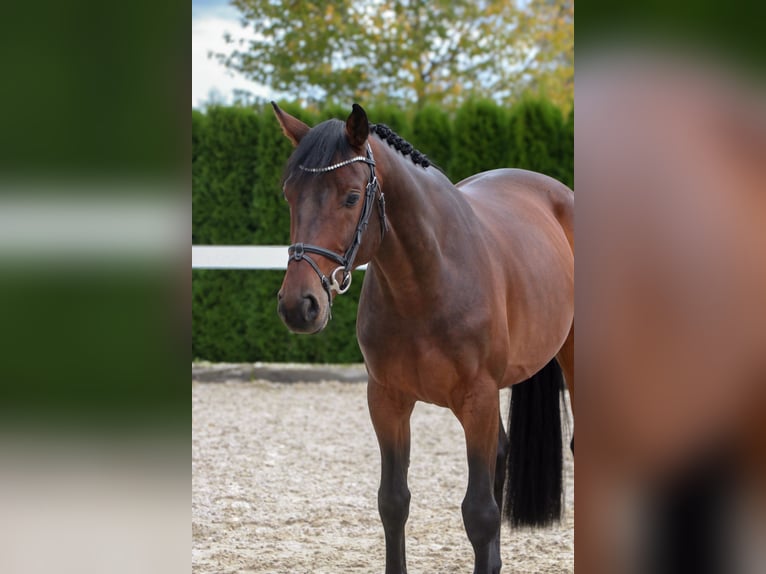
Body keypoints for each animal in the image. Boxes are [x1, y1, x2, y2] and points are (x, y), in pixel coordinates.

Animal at [272, 103, 572, 574]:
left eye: (351, 197)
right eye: (289, 195)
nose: (298, 305)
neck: (429, 281)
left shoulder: (477, 399)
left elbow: (479, 513)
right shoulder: (387, 400)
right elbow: (393, 502)